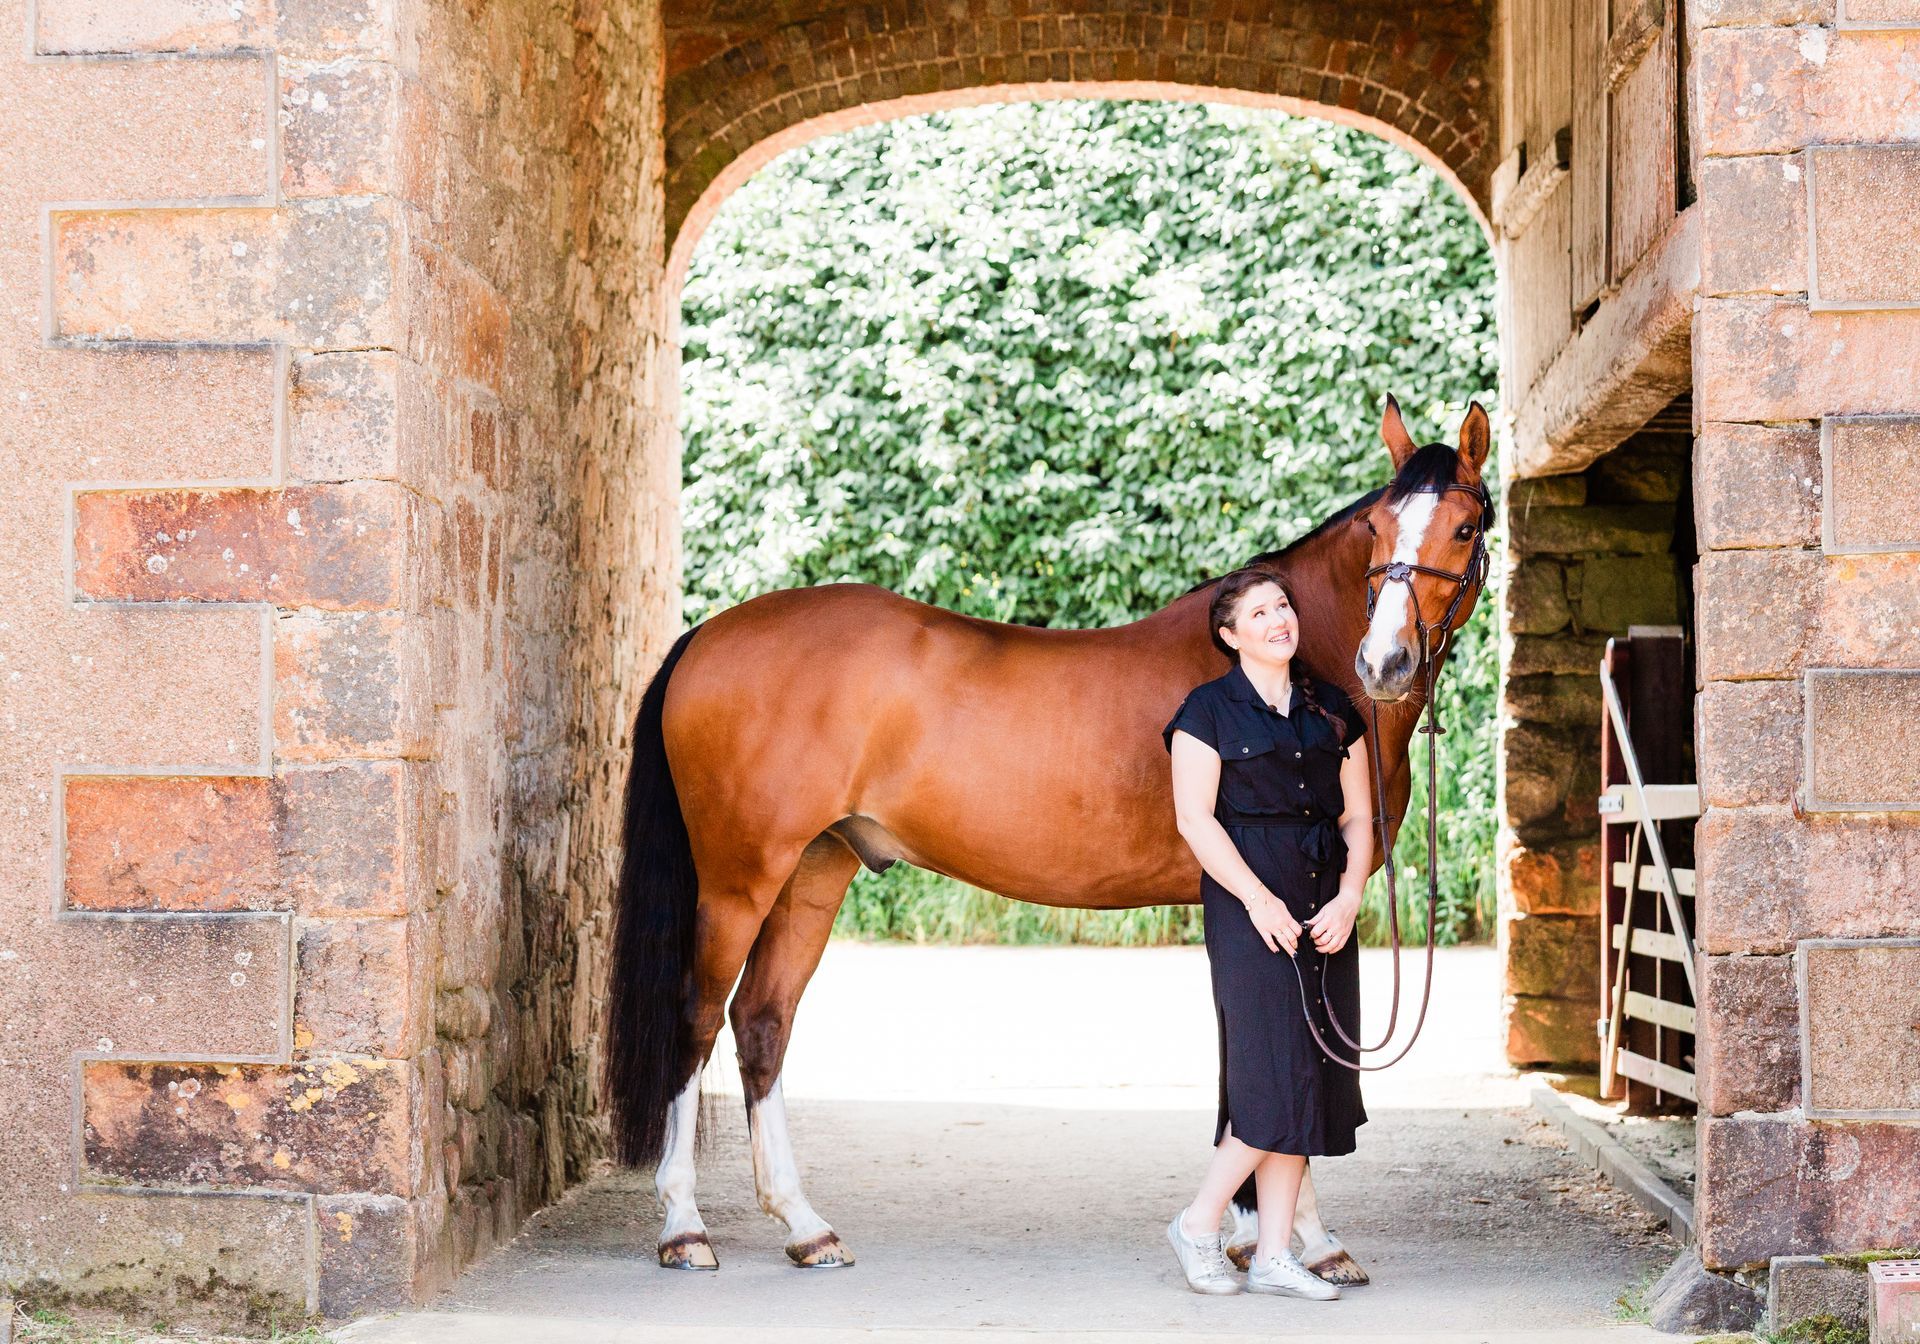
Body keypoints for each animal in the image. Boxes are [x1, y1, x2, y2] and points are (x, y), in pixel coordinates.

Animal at [606, 397, 1492, 1281]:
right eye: (1378, 527)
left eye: (1461, 528)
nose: (1384, 663)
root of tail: (705, 636)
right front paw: (1303, 1238)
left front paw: (1256, 1234)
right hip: (739, 879)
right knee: (697, 1019)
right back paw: (684, 1226)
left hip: (813, 869)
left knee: (763, 1021)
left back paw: (804, 1225)